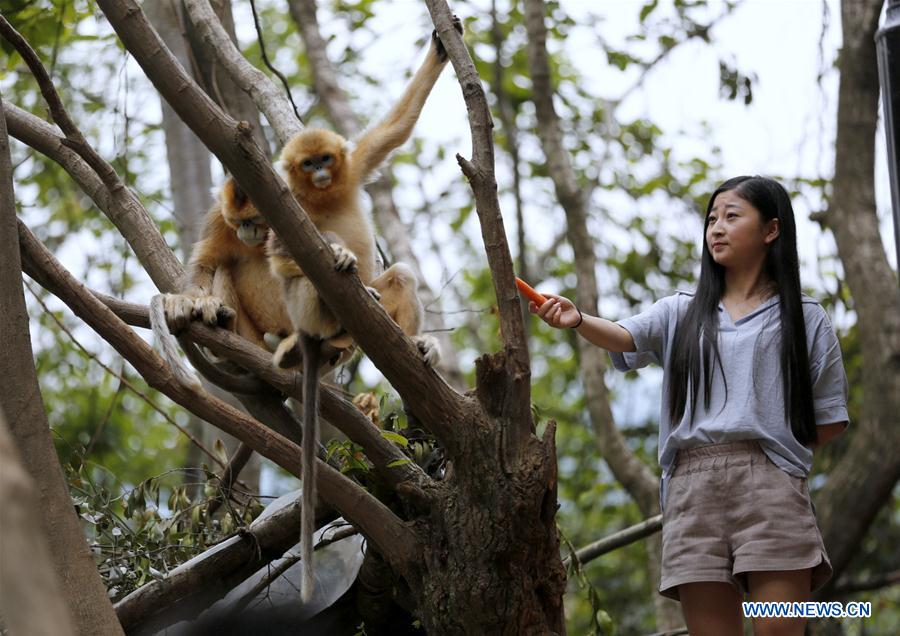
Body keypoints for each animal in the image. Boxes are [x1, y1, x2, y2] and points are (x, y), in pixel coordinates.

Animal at [267, 18, 462, 602]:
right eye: (307, 164)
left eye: (326, 160)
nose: (320, 174)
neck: (321, 197)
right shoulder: (283, 203)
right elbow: (278, 258)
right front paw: (340, 253)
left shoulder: (355, 166)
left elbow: (393, 133)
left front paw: (439, 50)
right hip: (309, 312)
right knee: (309, 282)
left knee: (399, 276)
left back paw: (411, 344)